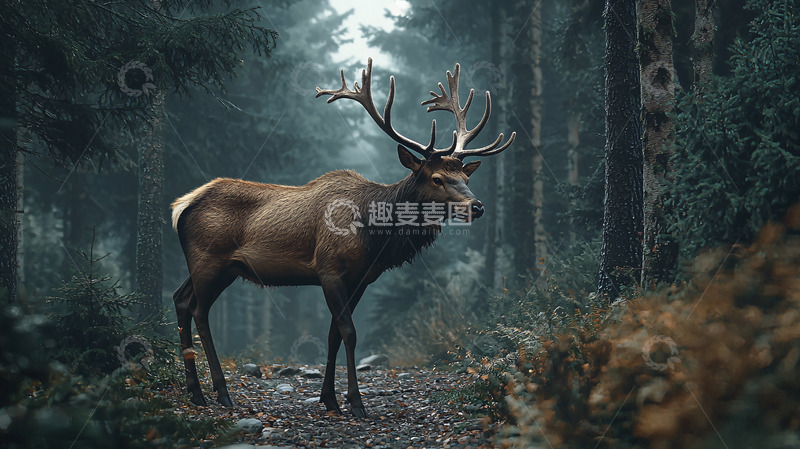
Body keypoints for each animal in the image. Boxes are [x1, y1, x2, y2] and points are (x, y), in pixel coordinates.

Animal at [170, 58, 515, 418]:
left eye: (465, 177)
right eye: (437, 178)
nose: (477, 206)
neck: (375, 237)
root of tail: (181, 206)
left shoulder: (361, 278)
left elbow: (333, 333)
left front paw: (330, 399)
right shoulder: (329, 269)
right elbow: (349, 332)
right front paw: (356, 402)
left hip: (220, 267)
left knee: (181, 299)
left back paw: (196, 392)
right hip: (209, 259)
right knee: (200, 311)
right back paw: (221, 392)